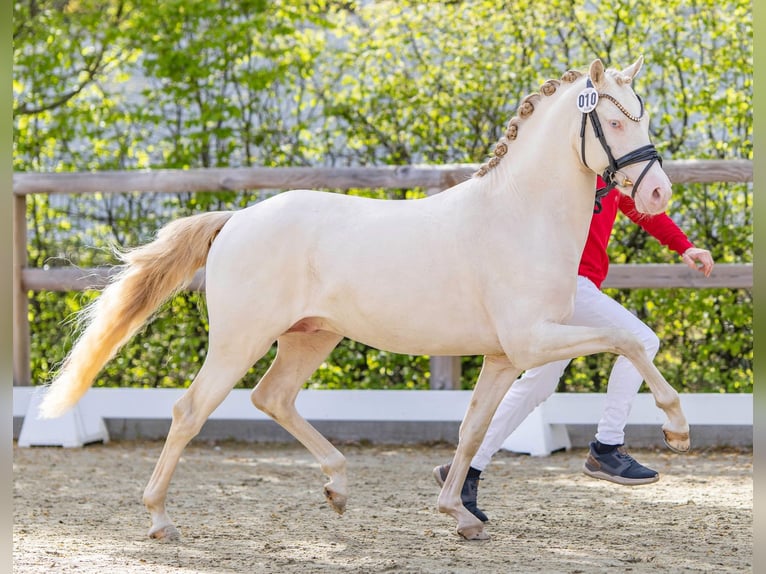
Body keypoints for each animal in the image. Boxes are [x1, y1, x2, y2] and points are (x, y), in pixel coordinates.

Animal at [39, 56, 689, 541]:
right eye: (615, 122)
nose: (657, 193)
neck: (518, 217)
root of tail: (237, 219)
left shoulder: (506, 357)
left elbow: (472, 429)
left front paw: (458, 513)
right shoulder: (533, 342)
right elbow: (628, 341)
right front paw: (676, 428)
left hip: (311, 336)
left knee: (272, 398)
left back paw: (337, 487)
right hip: (238, 341)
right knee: (190, 411)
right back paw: (159, 520)